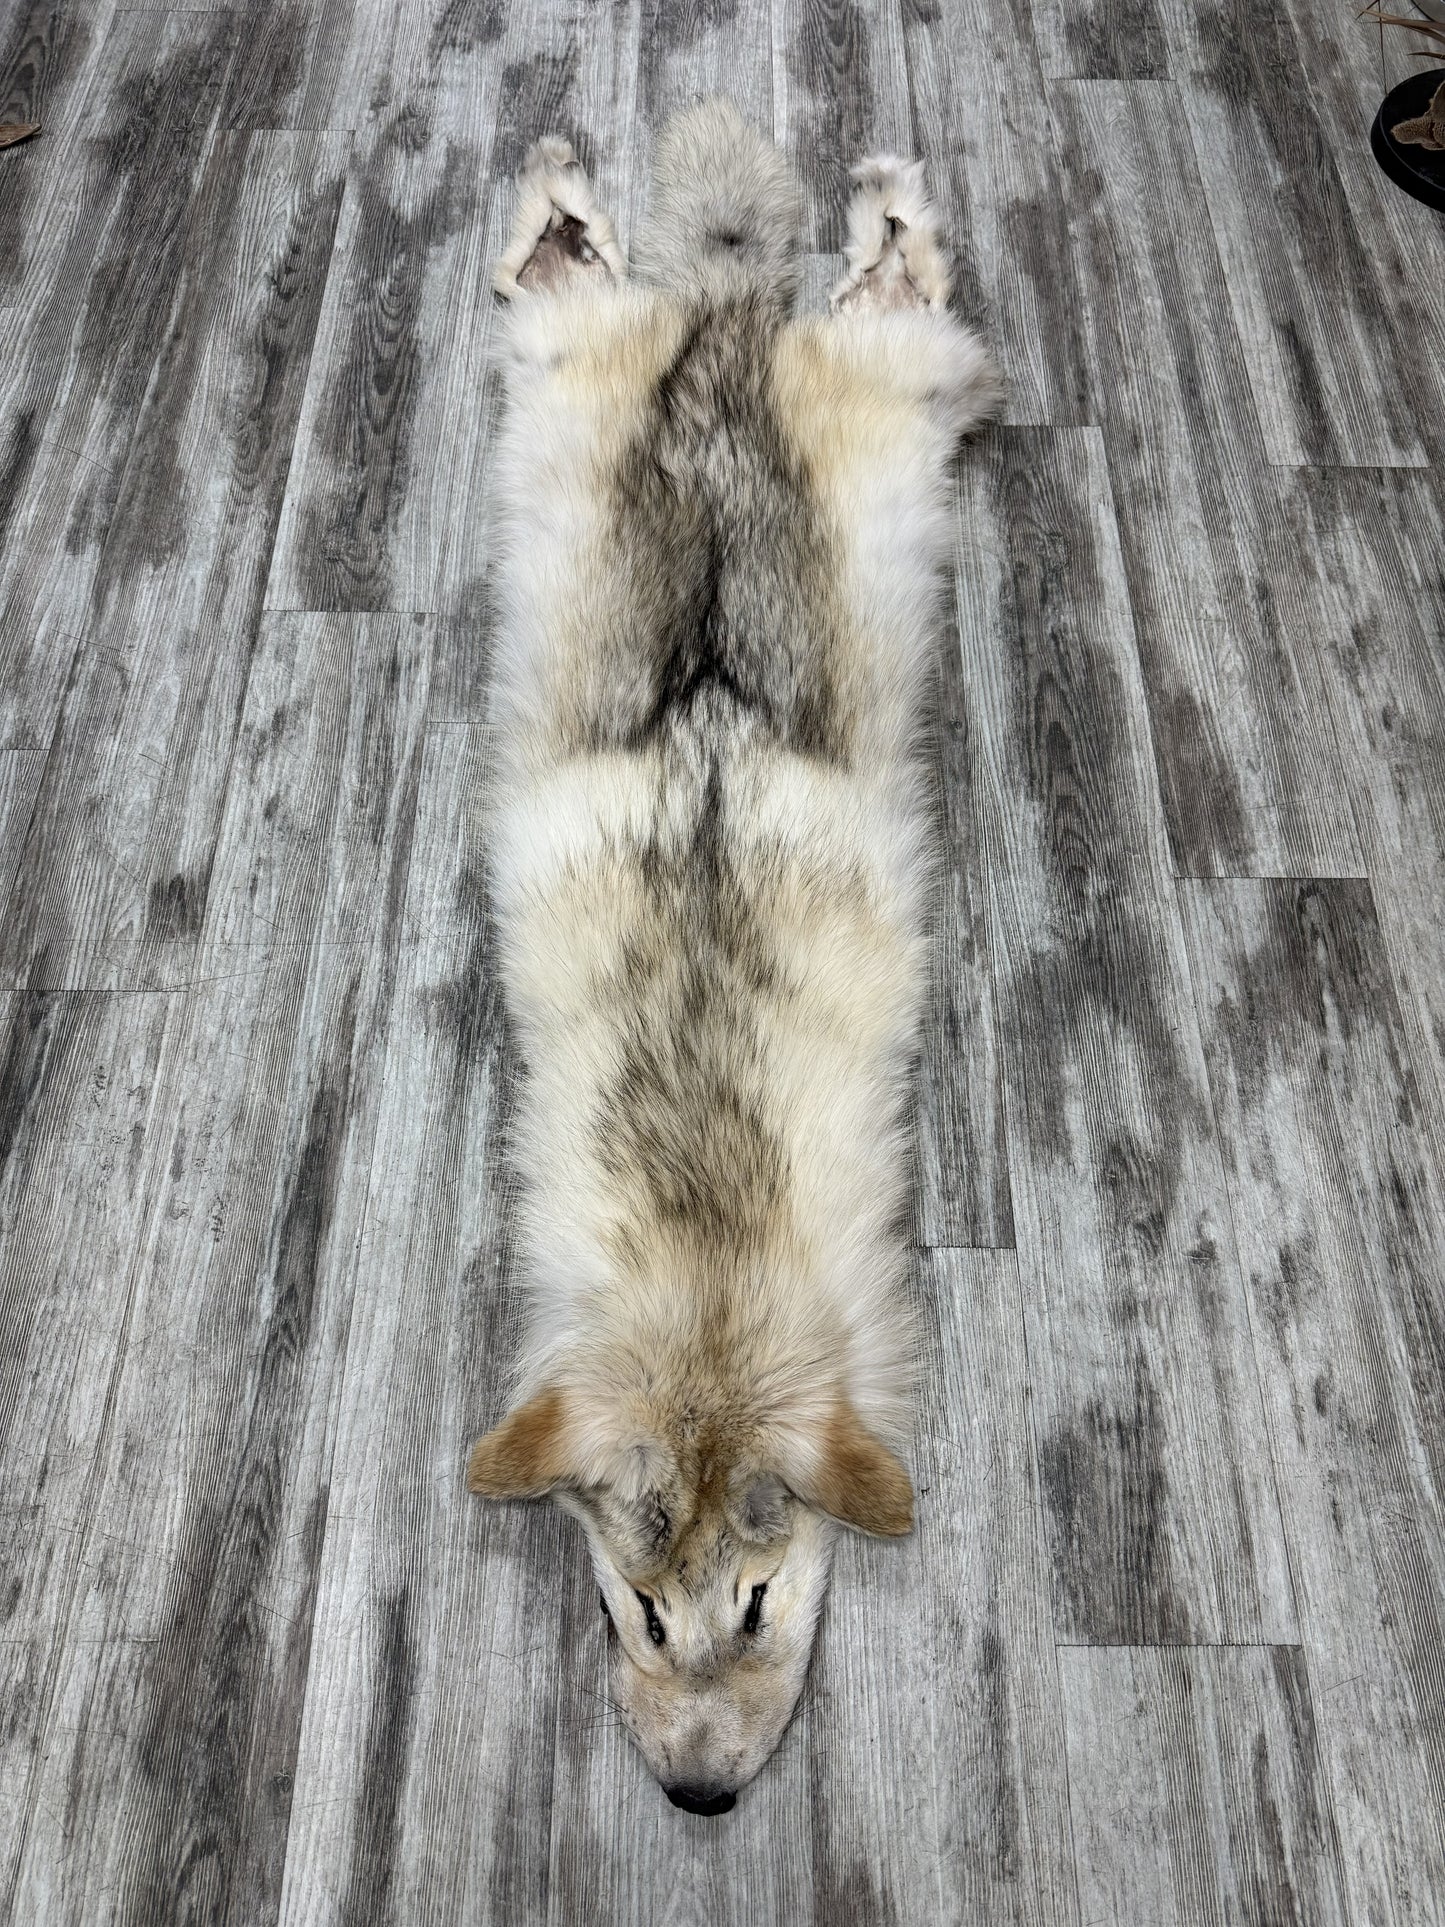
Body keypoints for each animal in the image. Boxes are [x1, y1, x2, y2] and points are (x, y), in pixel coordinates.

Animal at [467, 99, 1000, 1815]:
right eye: (639, 1609)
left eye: (755, 1600)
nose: (700, 1798)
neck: (704, 1268)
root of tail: (726, 326)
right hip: (574, 369)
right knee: (568, 271)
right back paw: (576, 199)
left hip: (887, 388)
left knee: (901, 283)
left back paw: (866, 206)